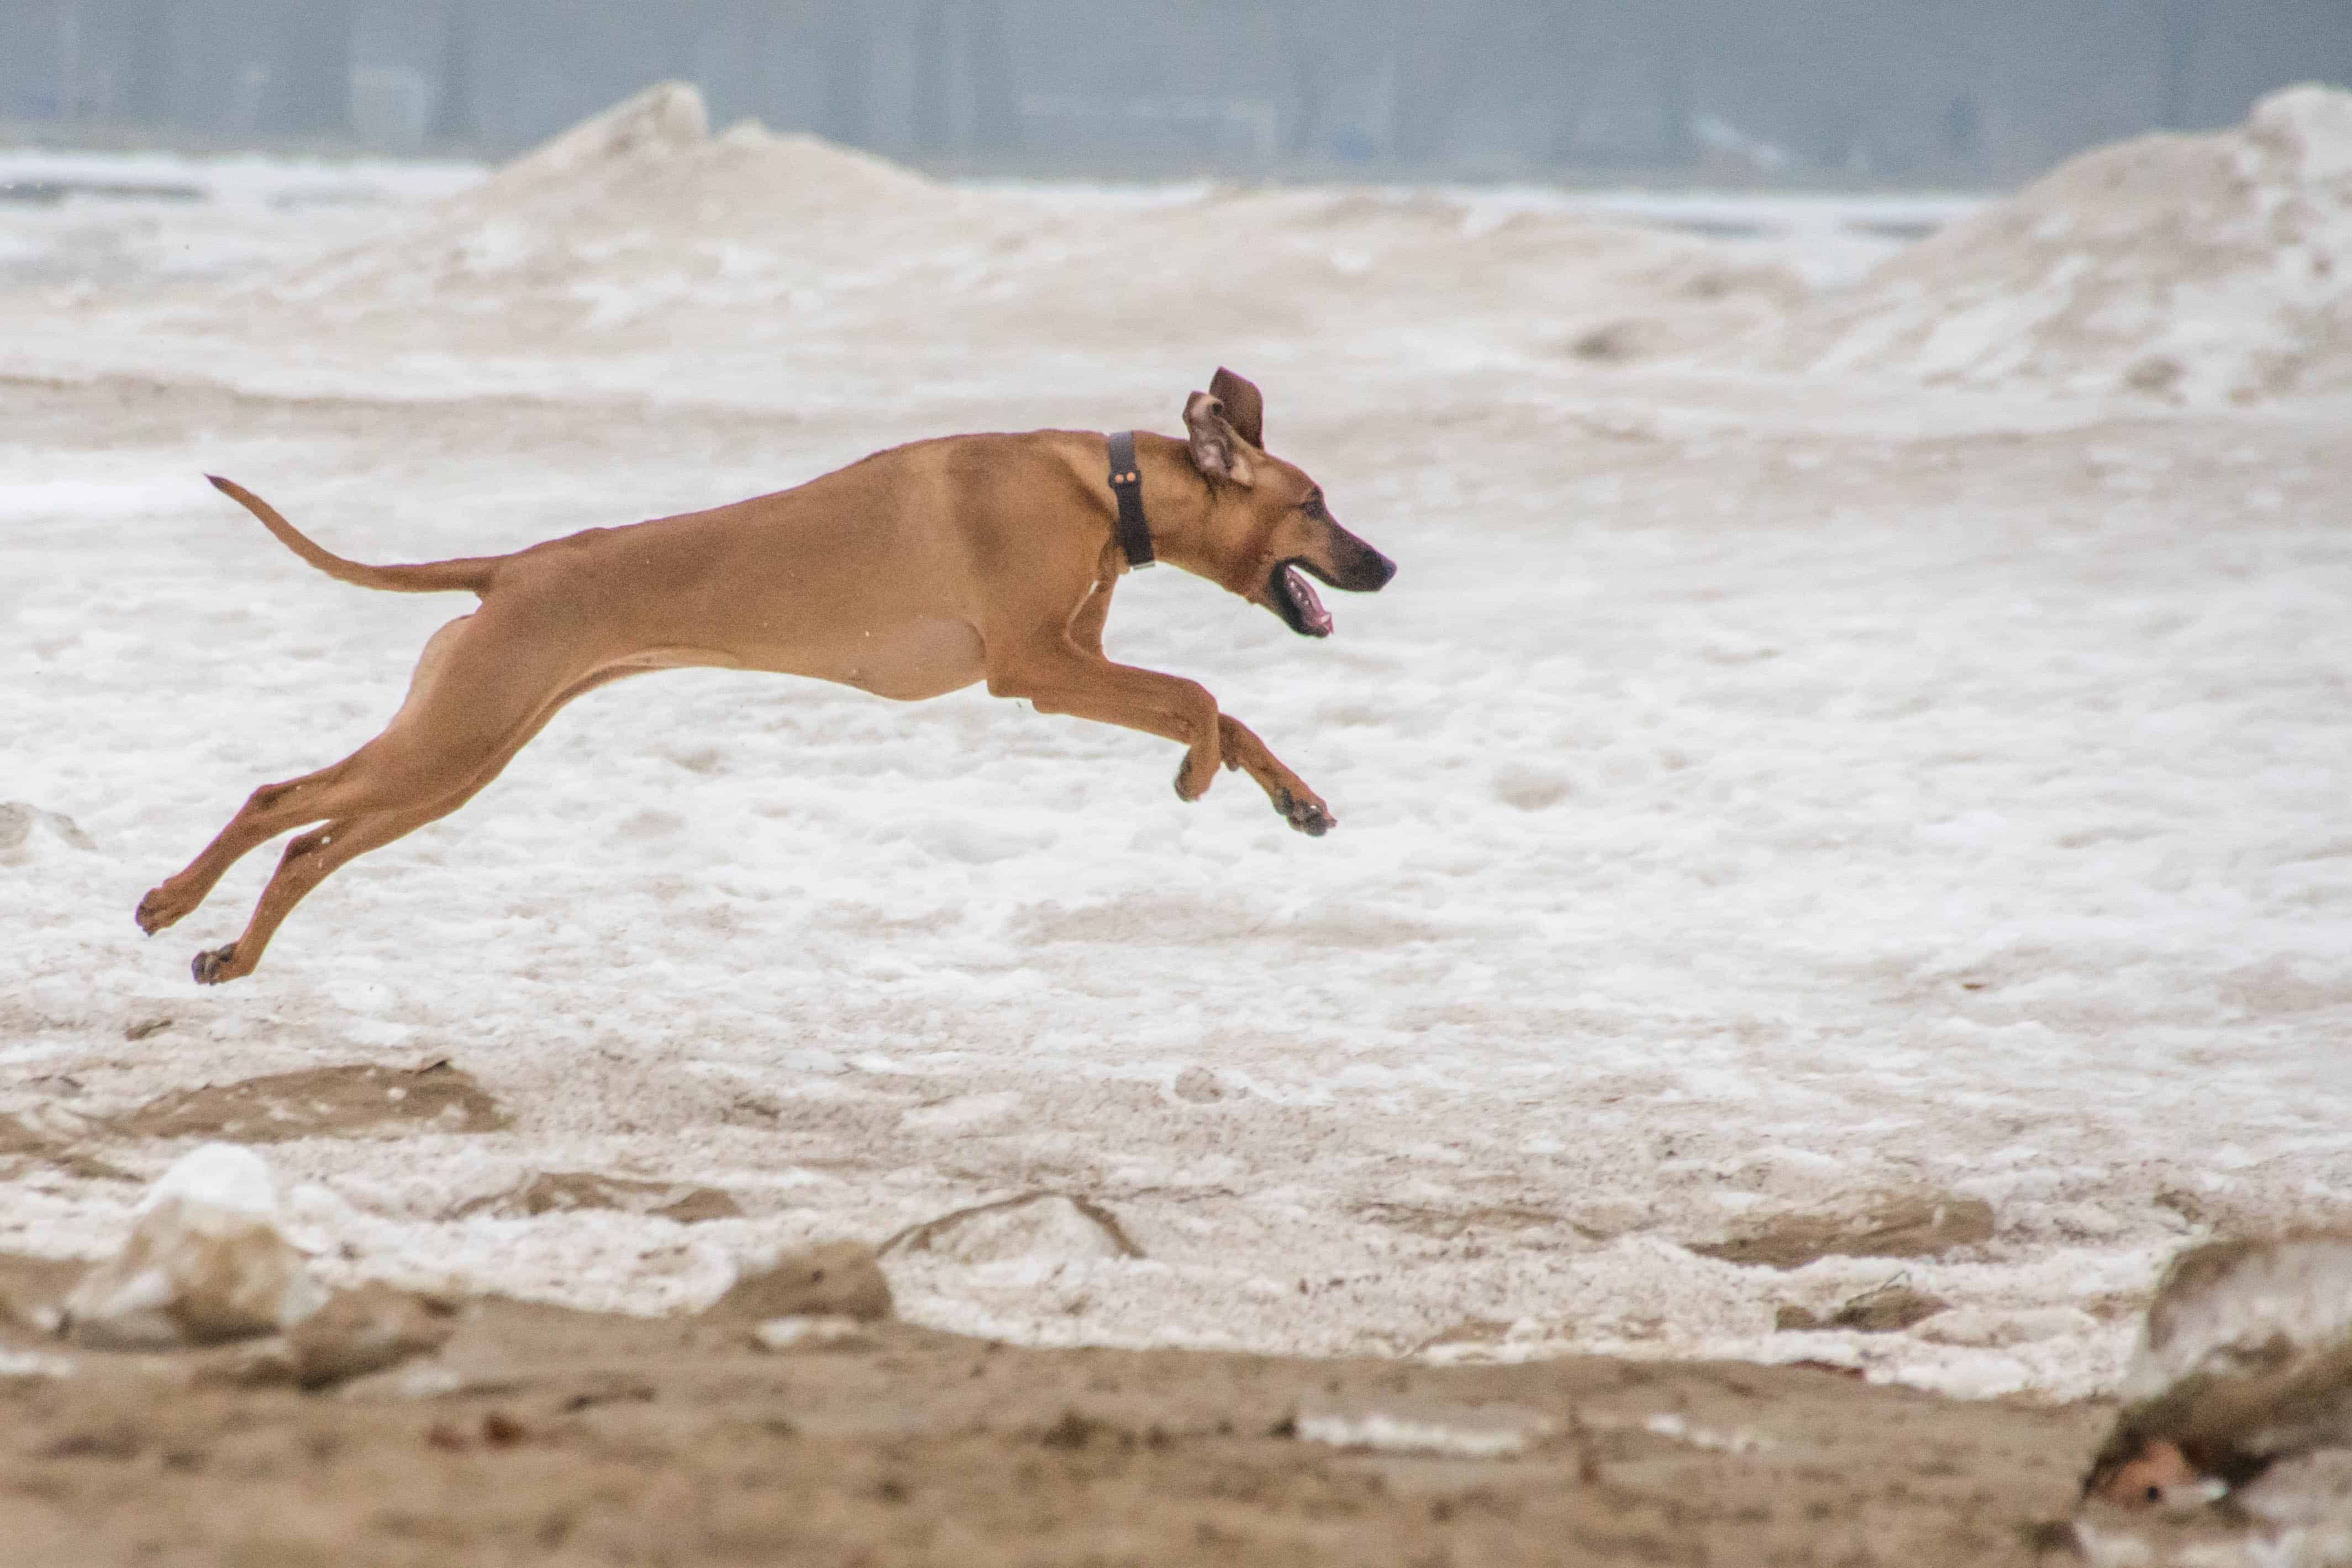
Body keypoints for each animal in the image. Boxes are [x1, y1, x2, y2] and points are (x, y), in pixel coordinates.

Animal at [138, 369, 1392, 982]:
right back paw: (173, 900)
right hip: (452, 737)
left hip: (462, 756)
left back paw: (232, 952)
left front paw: (1294, 797)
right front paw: (1194, 773)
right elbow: (1202, 699)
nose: (1383, 564)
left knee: (310, 845)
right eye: (1315, 504)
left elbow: (1230, 716)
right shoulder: (1037, 668)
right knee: (278, 801)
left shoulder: (1074, 659)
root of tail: (513, 569)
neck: (1107, 484)